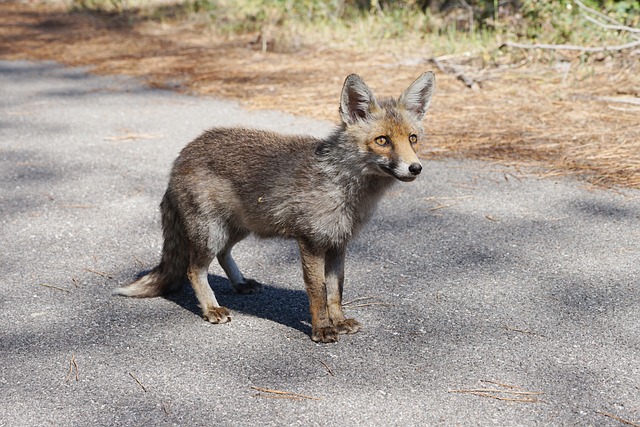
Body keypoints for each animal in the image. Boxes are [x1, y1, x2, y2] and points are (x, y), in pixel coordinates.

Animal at [114, 72, 436, 342]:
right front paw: (322, 329)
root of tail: (183, 153)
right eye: (382, 140)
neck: (343, 188)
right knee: (194, 270)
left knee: (223, 254)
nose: (415, 168)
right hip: (210, 233)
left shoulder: (338, 243)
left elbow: (336, 291)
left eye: (412, 139)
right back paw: (211, 308)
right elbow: (318, 292)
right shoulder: (311, 242)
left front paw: (339, 321)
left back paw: (241, 284)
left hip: (241, 228)